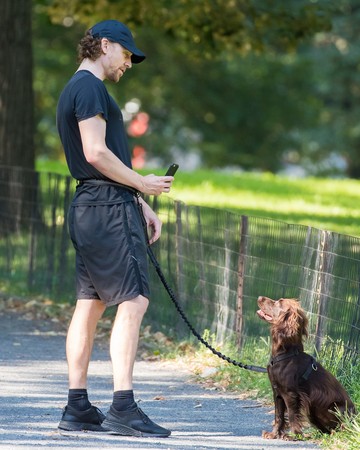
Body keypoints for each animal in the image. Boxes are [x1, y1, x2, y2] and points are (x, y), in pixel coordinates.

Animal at [258, 296, 356, 440]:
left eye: (279, 302)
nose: (260, 298)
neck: (286, 354)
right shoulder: (277, 393)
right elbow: (279, 416)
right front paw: (274, 434)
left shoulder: (291, 394)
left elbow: (292, 415)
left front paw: (294, 435)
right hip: (313, 412)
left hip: (336, 408)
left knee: (343, 427)